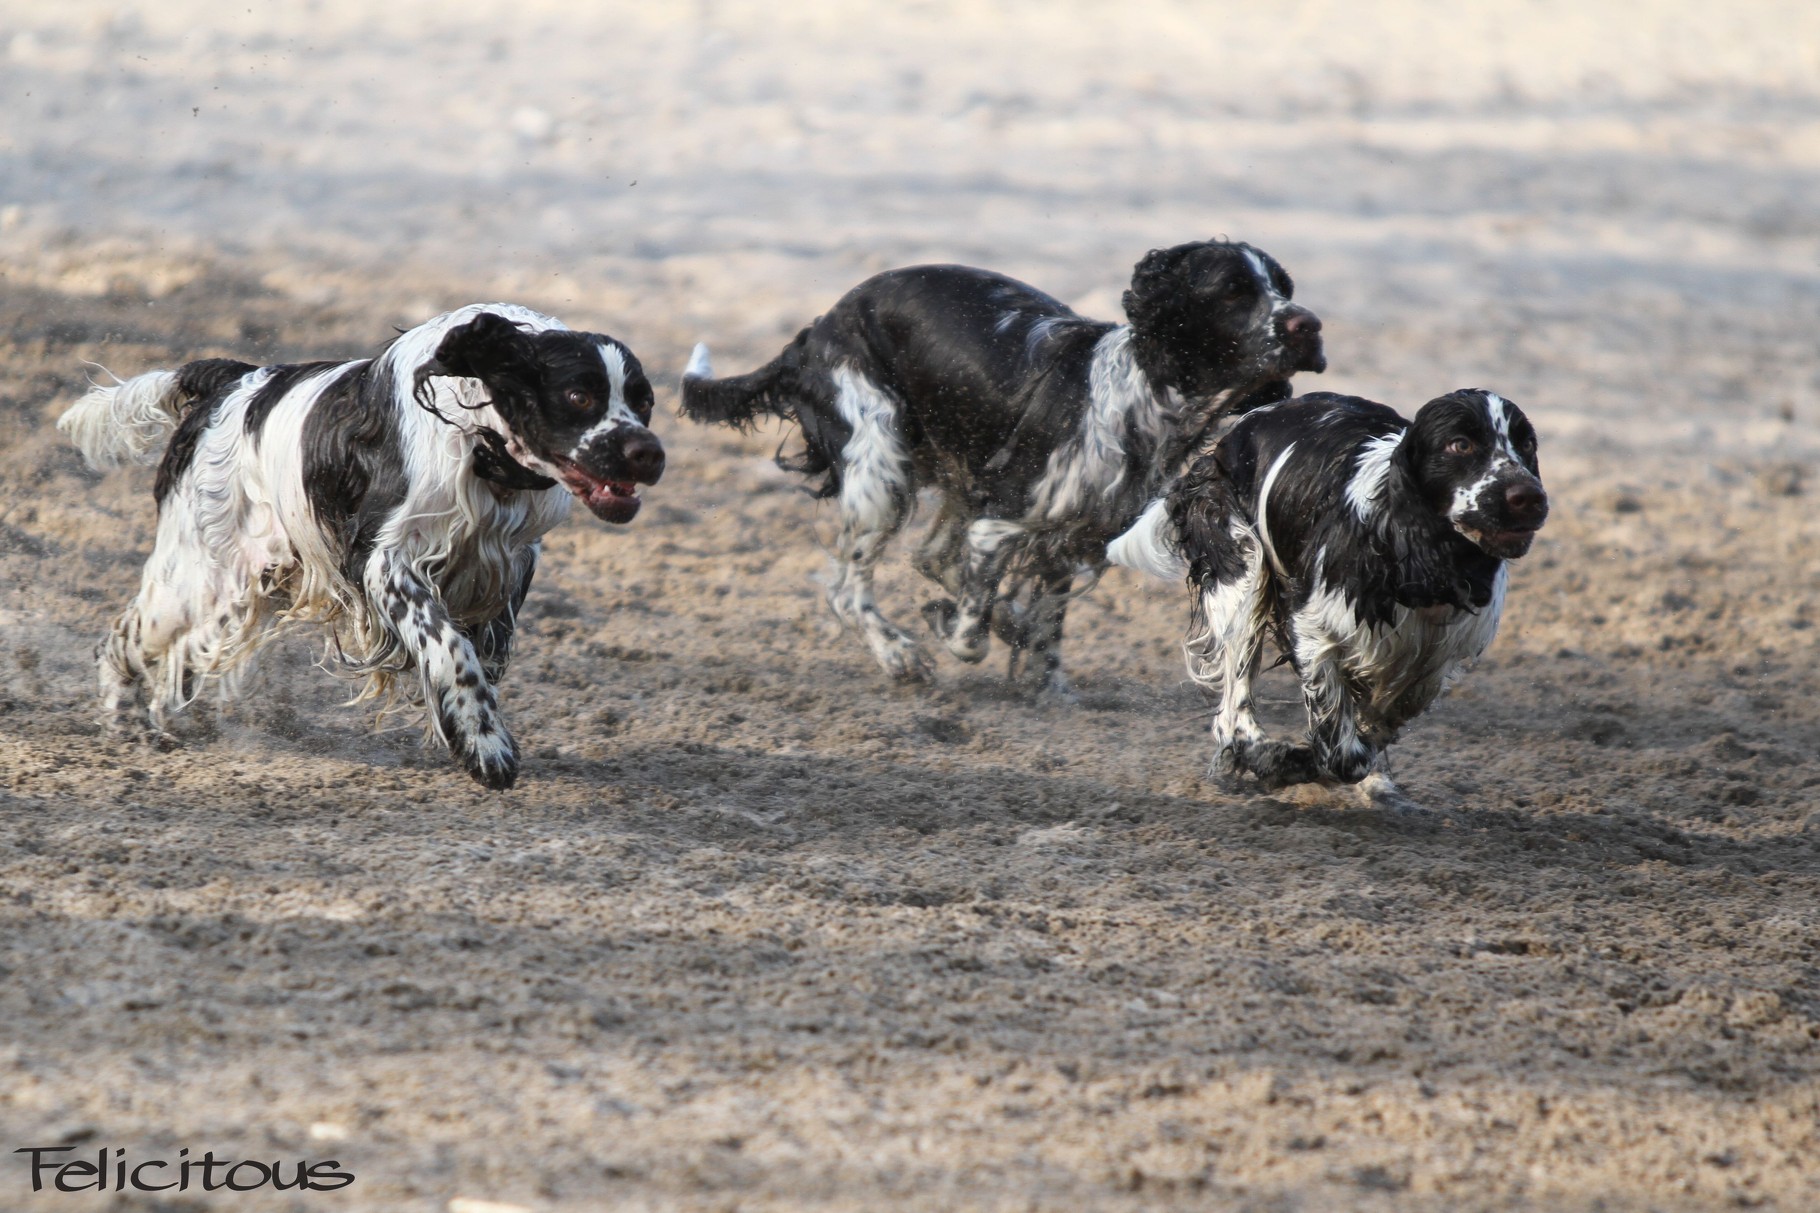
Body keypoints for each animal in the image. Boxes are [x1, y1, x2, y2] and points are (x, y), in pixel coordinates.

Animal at [60, 304, 666, 783]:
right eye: (578, 395)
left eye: (645, 402)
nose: (649, 453)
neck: (479, 444)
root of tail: (232, 382)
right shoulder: (384, 560)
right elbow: (450, 647)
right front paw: (483, 742)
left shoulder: (507, 564)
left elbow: (480, 652)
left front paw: (463, 725)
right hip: (195, 579)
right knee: (122, 637)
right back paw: (122, 723)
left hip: (245, 590)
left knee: (179, 658)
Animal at [680, 238, 1324, 688]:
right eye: (1234, 291)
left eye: (1284, 284)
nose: (1309, 324)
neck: (1141, 398)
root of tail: (817, 330)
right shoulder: (999, 524)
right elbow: (970, 635)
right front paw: (953, 626)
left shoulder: (1077, 539)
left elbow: (1040, 626)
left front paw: (1036, 664)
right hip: (880, 468)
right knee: (848, 588)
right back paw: (900, 655)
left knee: (930, 556)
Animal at [1106, 387, 1550, 794]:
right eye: (1460, 444)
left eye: (1527, 444)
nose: (1528, 497)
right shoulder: (1313, 630)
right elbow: (1341, 750)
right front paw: (1298, 762)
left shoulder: (1432, 662)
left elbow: (1383, 719)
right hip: (1242, 569)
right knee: (1233, 708)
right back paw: (1263, 754)